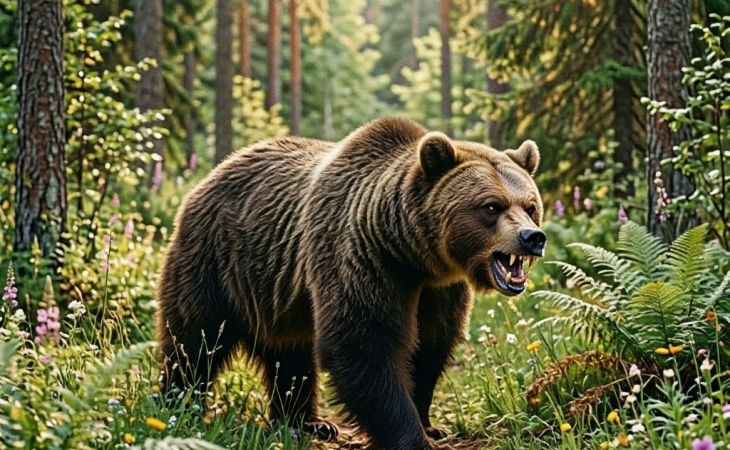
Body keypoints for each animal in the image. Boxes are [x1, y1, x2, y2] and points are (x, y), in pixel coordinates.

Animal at [156, 118, 545, 449]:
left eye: (530, 205)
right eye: (491, 206)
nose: (532, 237)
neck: (415, 256)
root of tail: (211, 175)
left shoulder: (440, 290)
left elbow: (431, 345)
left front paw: (431, 423)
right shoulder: (363, 257)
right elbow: (364, 343)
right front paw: (412, 436)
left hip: (277, 293)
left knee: (291, 354)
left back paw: (308, 423)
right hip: (216, 263)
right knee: (195, 339)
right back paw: (179, 405)